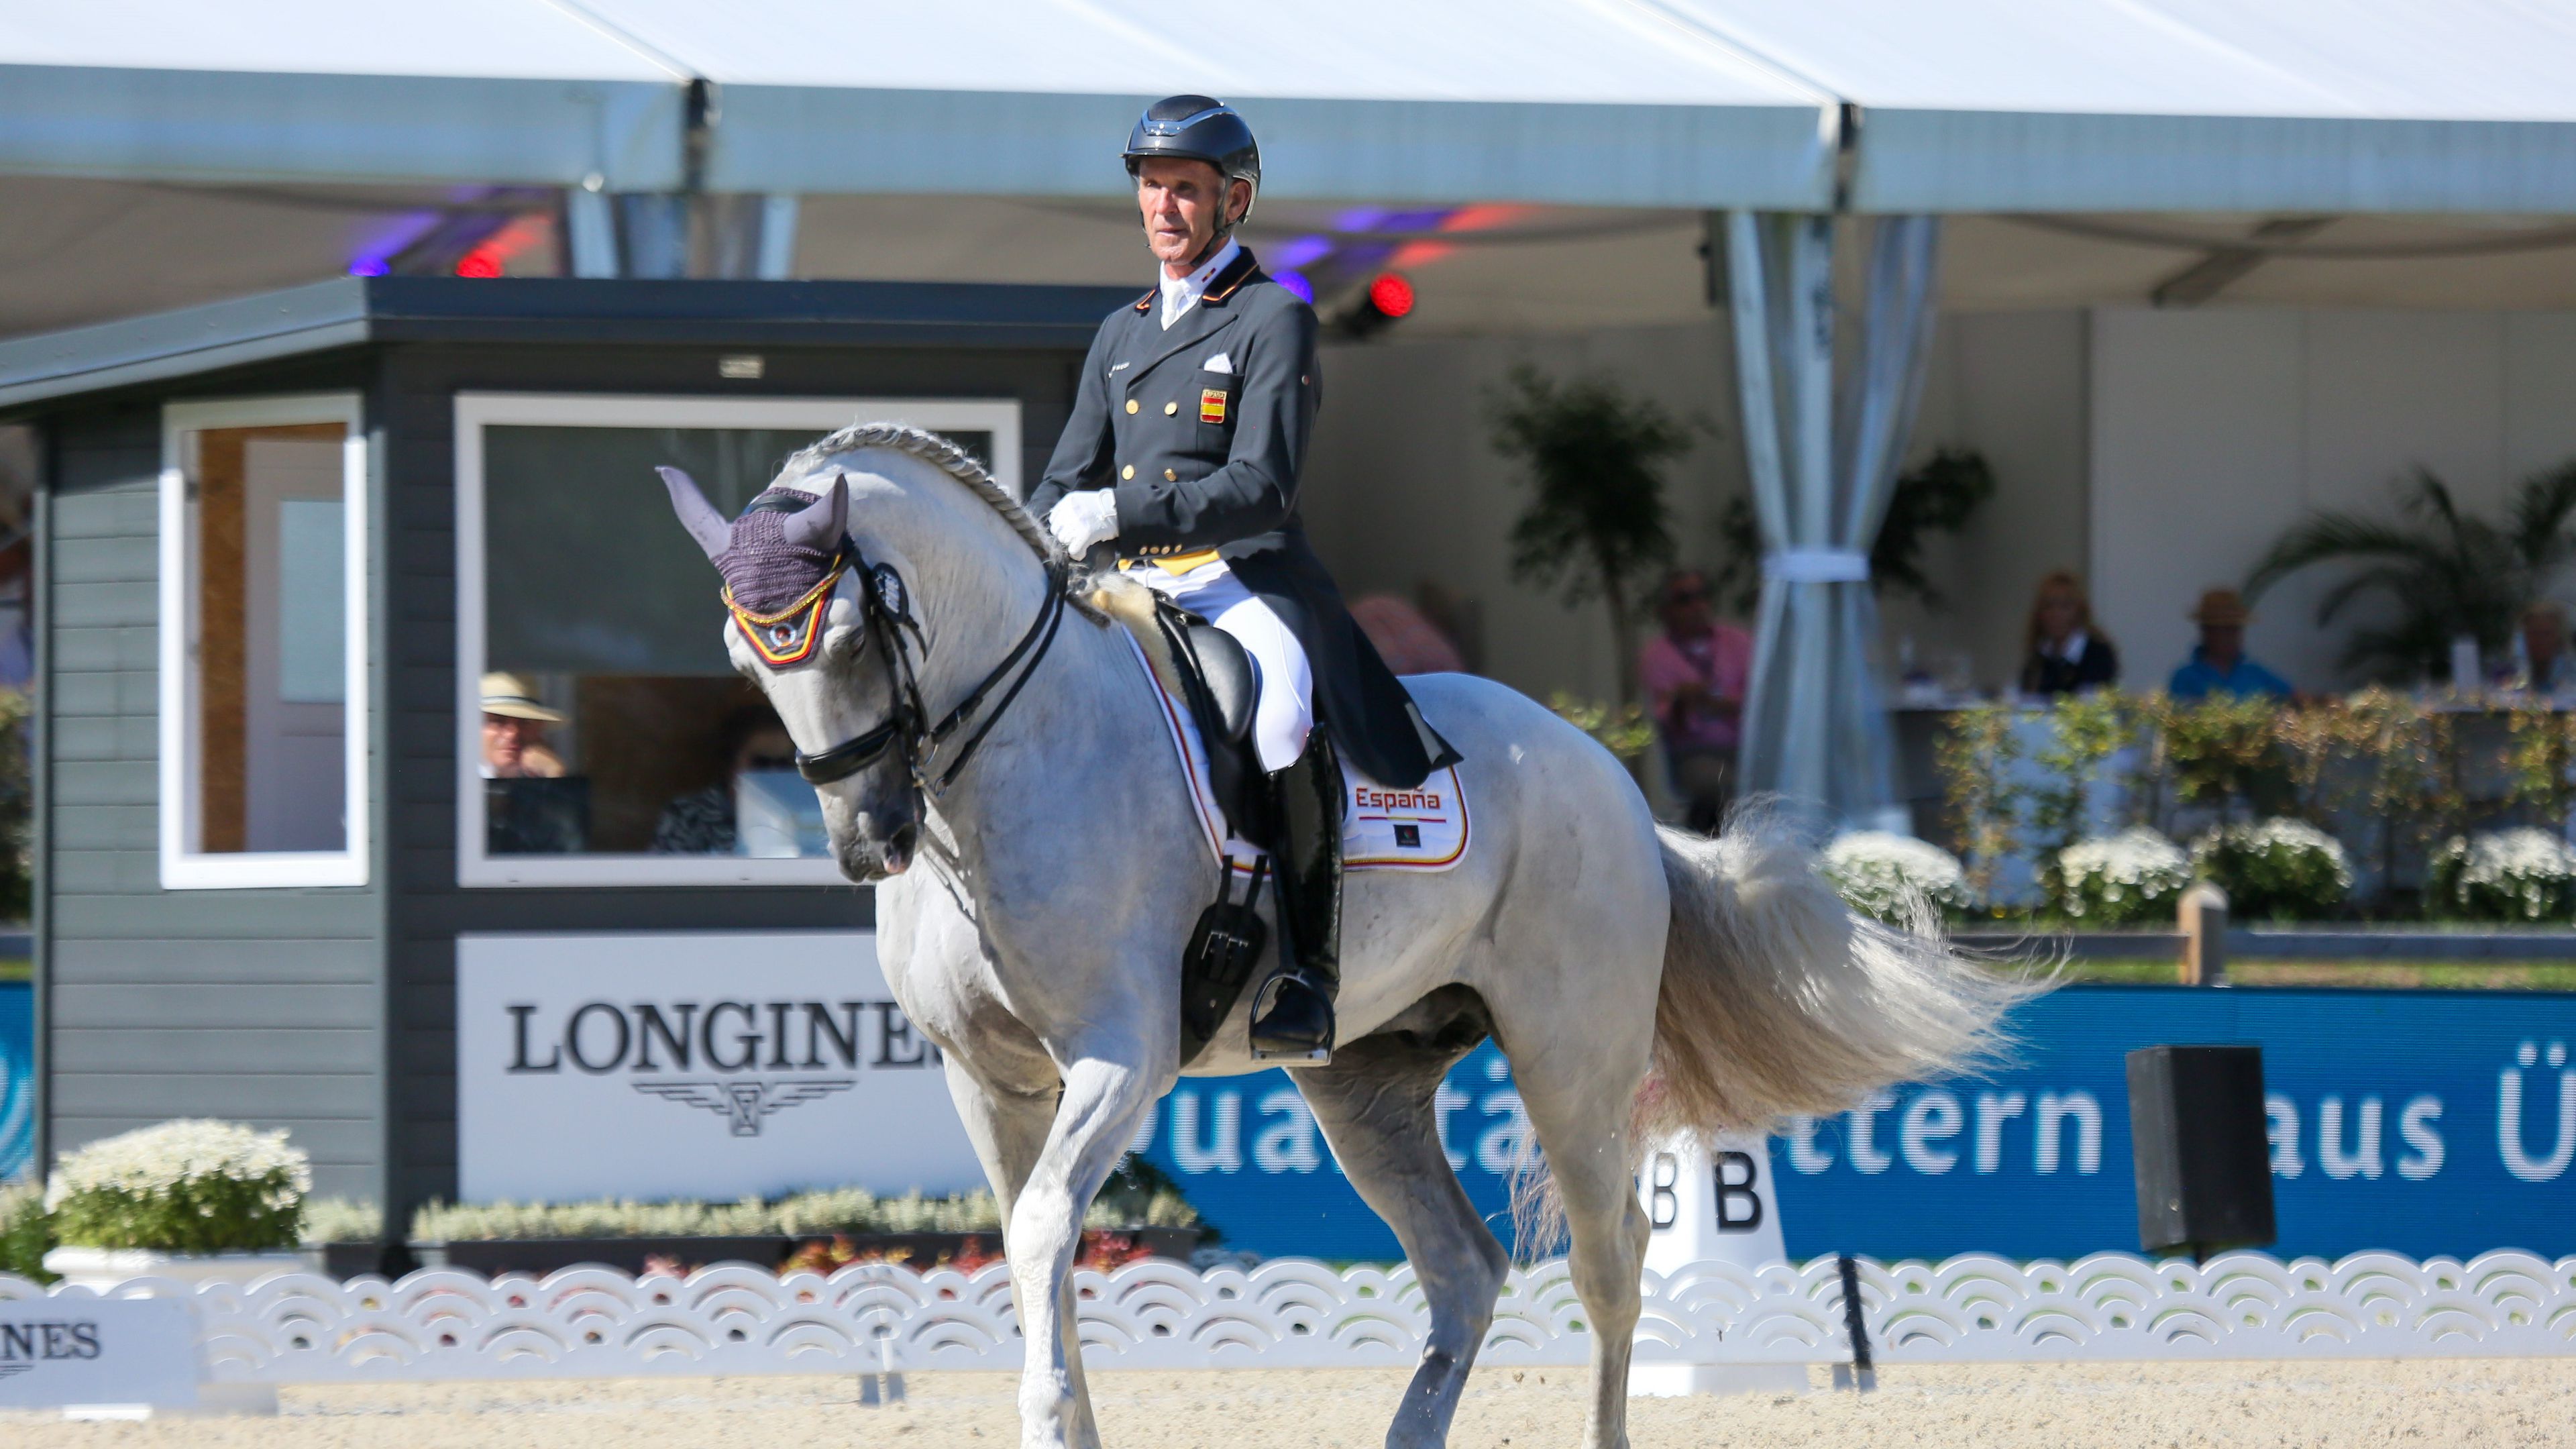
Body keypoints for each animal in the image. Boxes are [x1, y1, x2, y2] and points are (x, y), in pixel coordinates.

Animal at [659, 423, 2009, 1444]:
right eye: (742, 657)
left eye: (847, 637)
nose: (866, 844)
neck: (1007, 760)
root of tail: (1608, 775)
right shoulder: (987, 1077)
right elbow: (1035, 1245)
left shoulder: (1121, 1056)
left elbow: (1044, 1231)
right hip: (1364, 1080)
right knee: (1464, 1269)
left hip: (1573, 1058)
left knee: (1608, 1258)